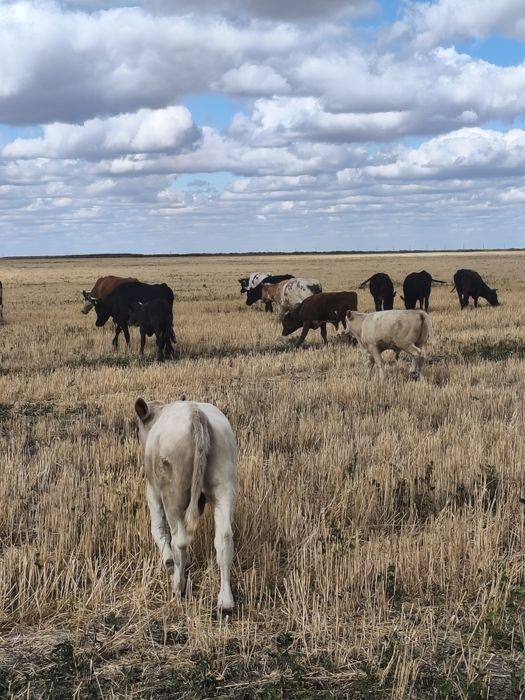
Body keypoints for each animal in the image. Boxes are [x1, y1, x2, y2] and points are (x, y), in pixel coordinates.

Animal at [135, 397, 237, 611]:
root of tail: (196, 412)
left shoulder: (152, 491)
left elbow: (158, 529)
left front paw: (168, 561)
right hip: (224, 487)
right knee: (224, 537)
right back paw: (225, 601)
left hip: (173, 494)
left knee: (179, 540)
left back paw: (178, 586)